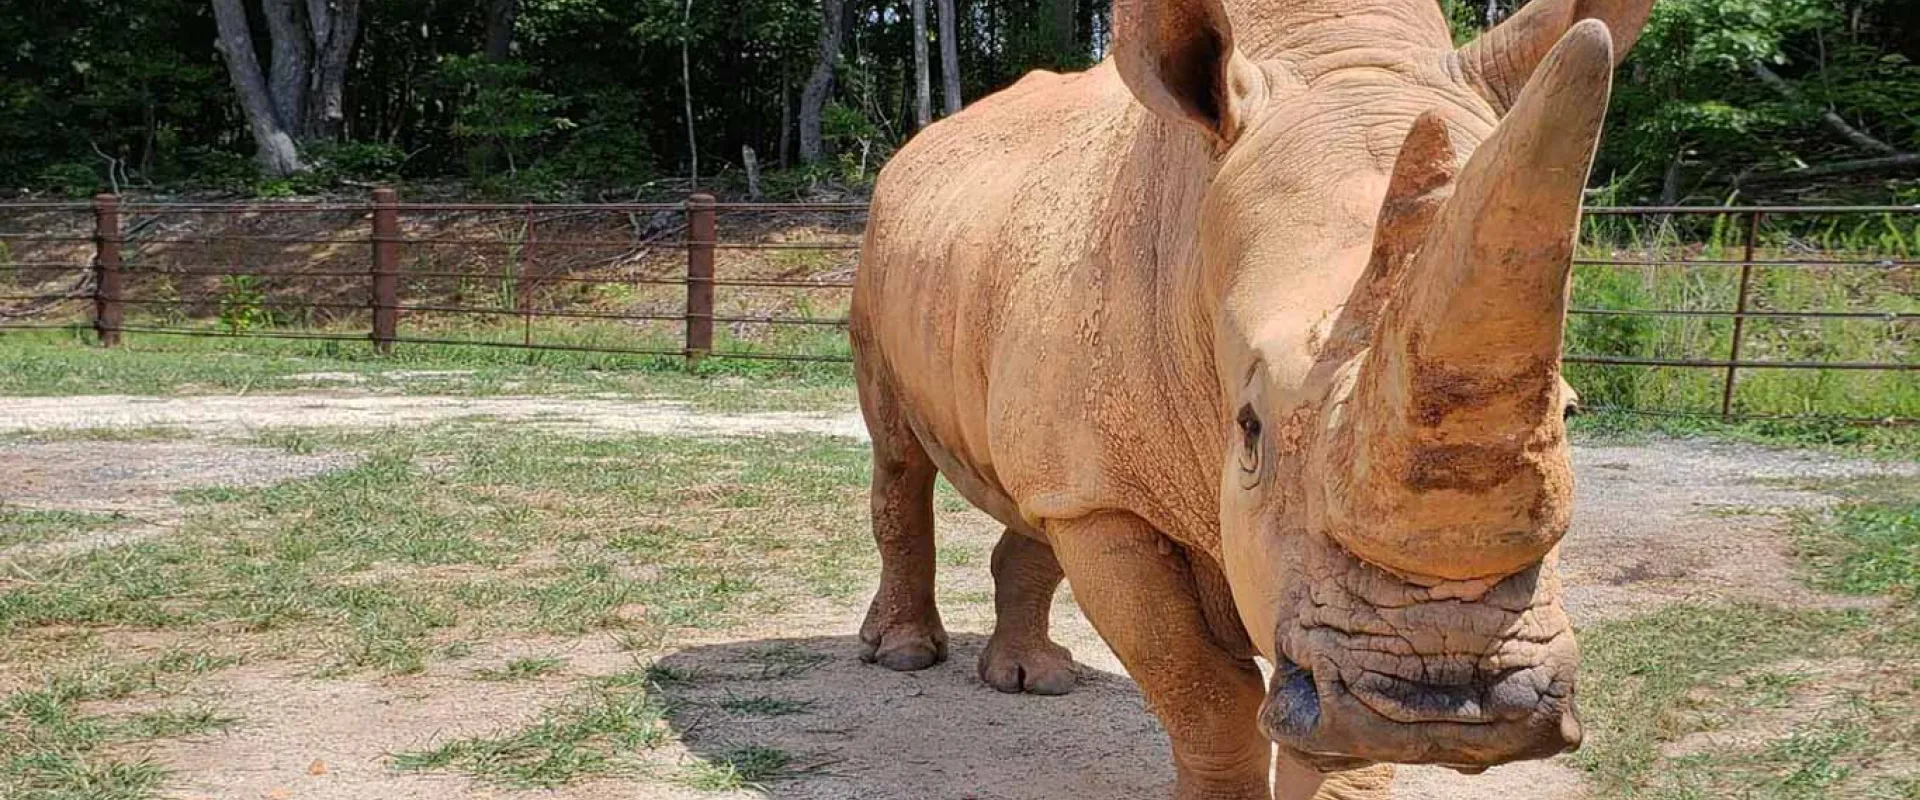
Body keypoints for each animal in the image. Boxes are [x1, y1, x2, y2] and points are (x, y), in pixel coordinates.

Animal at [848, 0, 1652, 796]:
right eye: (1249, 427)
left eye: (1568, 414)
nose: (1443, 698)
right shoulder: (1110, 509)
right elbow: (1205, 693)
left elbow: (1337, 752)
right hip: (879, 241)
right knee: (901, 456)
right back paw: (905, 654)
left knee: (1033, 488)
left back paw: (1035, 679)